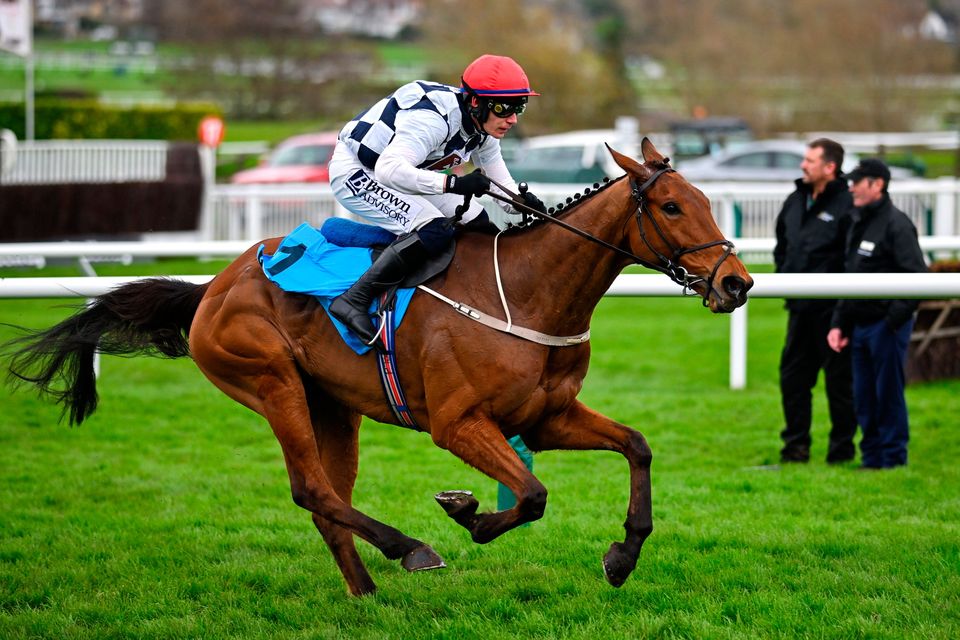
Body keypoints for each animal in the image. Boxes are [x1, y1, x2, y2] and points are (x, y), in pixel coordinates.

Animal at [3, 139, 752, 596]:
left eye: (707, 200)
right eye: (671, 205)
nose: (738, 283)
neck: (528, 290)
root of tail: (212, 285)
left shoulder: (546, 418)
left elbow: (637, 446)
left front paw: (622, 555)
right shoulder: (458, 423)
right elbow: (533, 496)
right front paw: (469, 513)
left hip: (332, 406)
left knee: (328, 500)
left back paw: (364, 589)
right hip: (270, 380)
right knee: (310, 489)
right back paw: (409, 548)